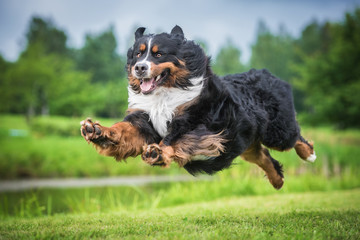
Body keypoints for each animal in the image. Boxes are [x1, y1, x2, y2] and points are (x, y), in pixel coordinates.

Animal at [81, 24, 316, 189]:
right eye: (138, 54)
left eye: (159, 54)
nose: (139, 68)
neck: (163, 95)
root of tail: (269, 74)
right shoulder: (143, 122)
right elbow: (122, 130)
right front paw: (96, 130)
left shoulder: (198, 124)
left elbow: (177, 139)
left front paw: (157, 152)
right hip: (245, 142)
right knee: (264, 156)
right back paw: (277, 181)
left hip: (277, 132)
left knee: (295, 137)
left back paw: (309, 154)